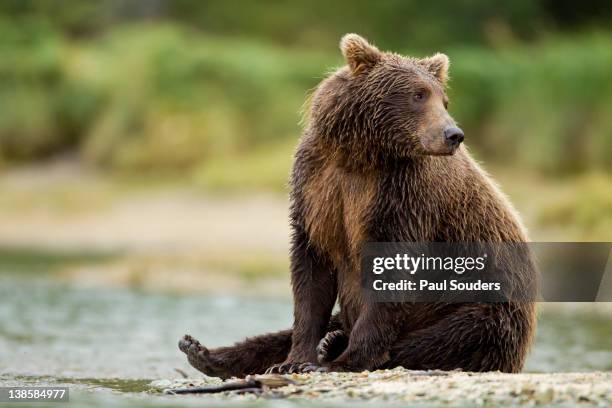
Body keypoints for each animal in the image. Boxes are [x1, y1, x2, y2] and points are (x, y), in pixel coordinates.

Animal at [180, 33, 536, 378]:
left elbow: (391, 272)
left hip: (485, 303)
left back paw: (335, 348)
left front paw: (343, 359)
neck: (362, 154)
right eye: (418, 95)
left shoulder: (405, 195)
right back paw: (204, 352)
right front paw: (294, 359)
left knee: (452, 336)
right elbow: (311, 277)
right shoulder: (317, 186)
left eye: (443, 99)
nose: (453, 134)